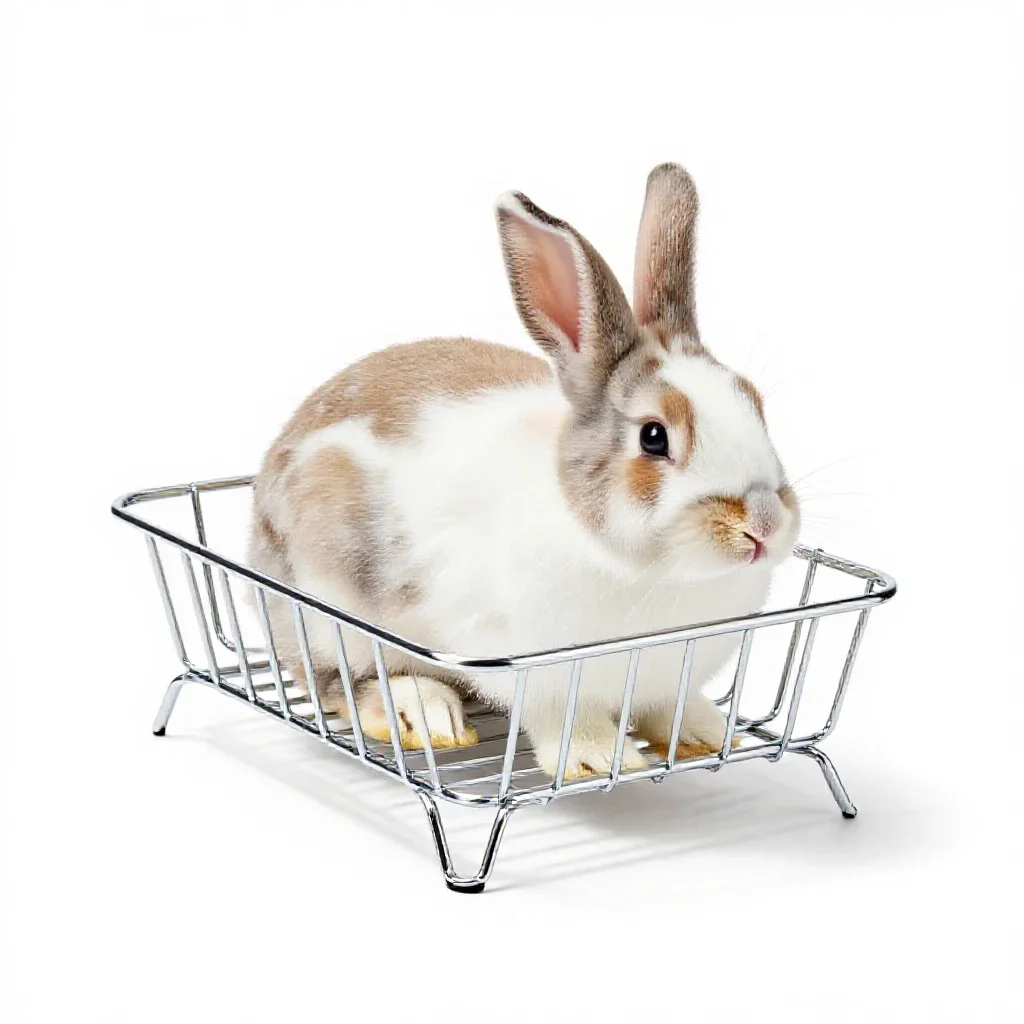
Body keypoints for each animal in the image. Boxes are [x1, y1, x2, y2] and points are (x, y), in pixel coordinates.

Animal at [247, 163, 800, 779]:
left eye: (754, 401)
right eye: (654, 437)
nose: (764, 524)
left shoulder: (661, 681)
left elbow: (667, 709)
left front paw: (706, 735)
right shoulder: (530, 668)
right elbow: (563, 720)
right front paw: (597, 760)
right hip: (328, 617)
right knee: (337, 683)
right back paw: (426, 714)